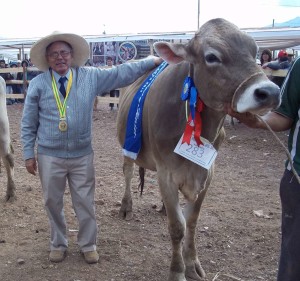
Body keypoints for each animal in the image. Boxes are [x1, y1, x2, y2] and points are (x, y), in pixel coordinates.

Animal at [116, 17, 280, 280]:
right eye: (211, 57)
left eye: (254, 50)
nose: (271, 92)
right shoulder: (167, 174)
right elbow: (177, 227)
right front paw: (177, 271)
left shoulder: (208, 173)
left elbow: (191, 222)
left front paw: (192, 264)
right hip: (127, 147)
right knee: (128, 173)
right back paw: (126, 207)